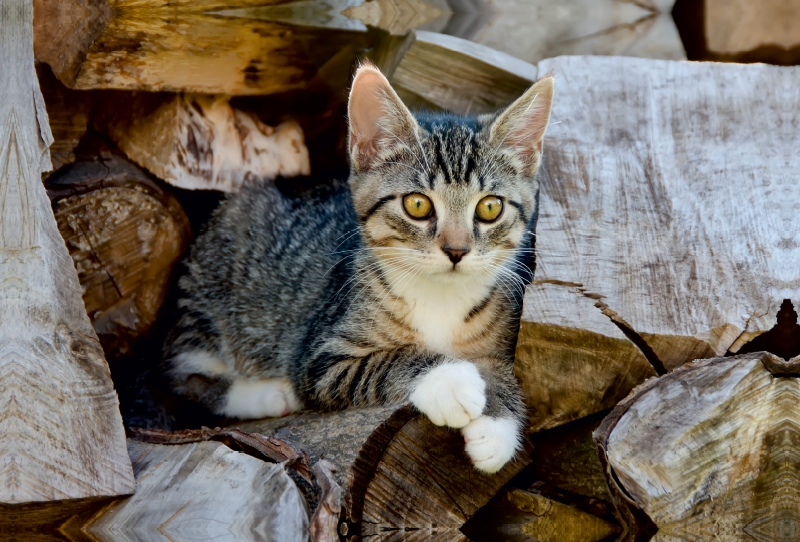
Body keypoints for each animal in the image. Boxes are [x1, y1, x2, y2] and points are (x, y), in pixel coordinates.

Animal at [166, 62, 552, 472]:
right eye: (417, 205)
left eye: (490, 207)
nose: (456, 250)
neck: (439, 296)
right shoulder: (319, 358)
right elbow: (386, 362)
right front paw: (450, 380)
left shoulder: (504, 335)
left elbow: (504, 371)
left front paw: (497, 426)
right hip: (210, 300)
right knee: (185, 381)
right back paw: (267, 394)